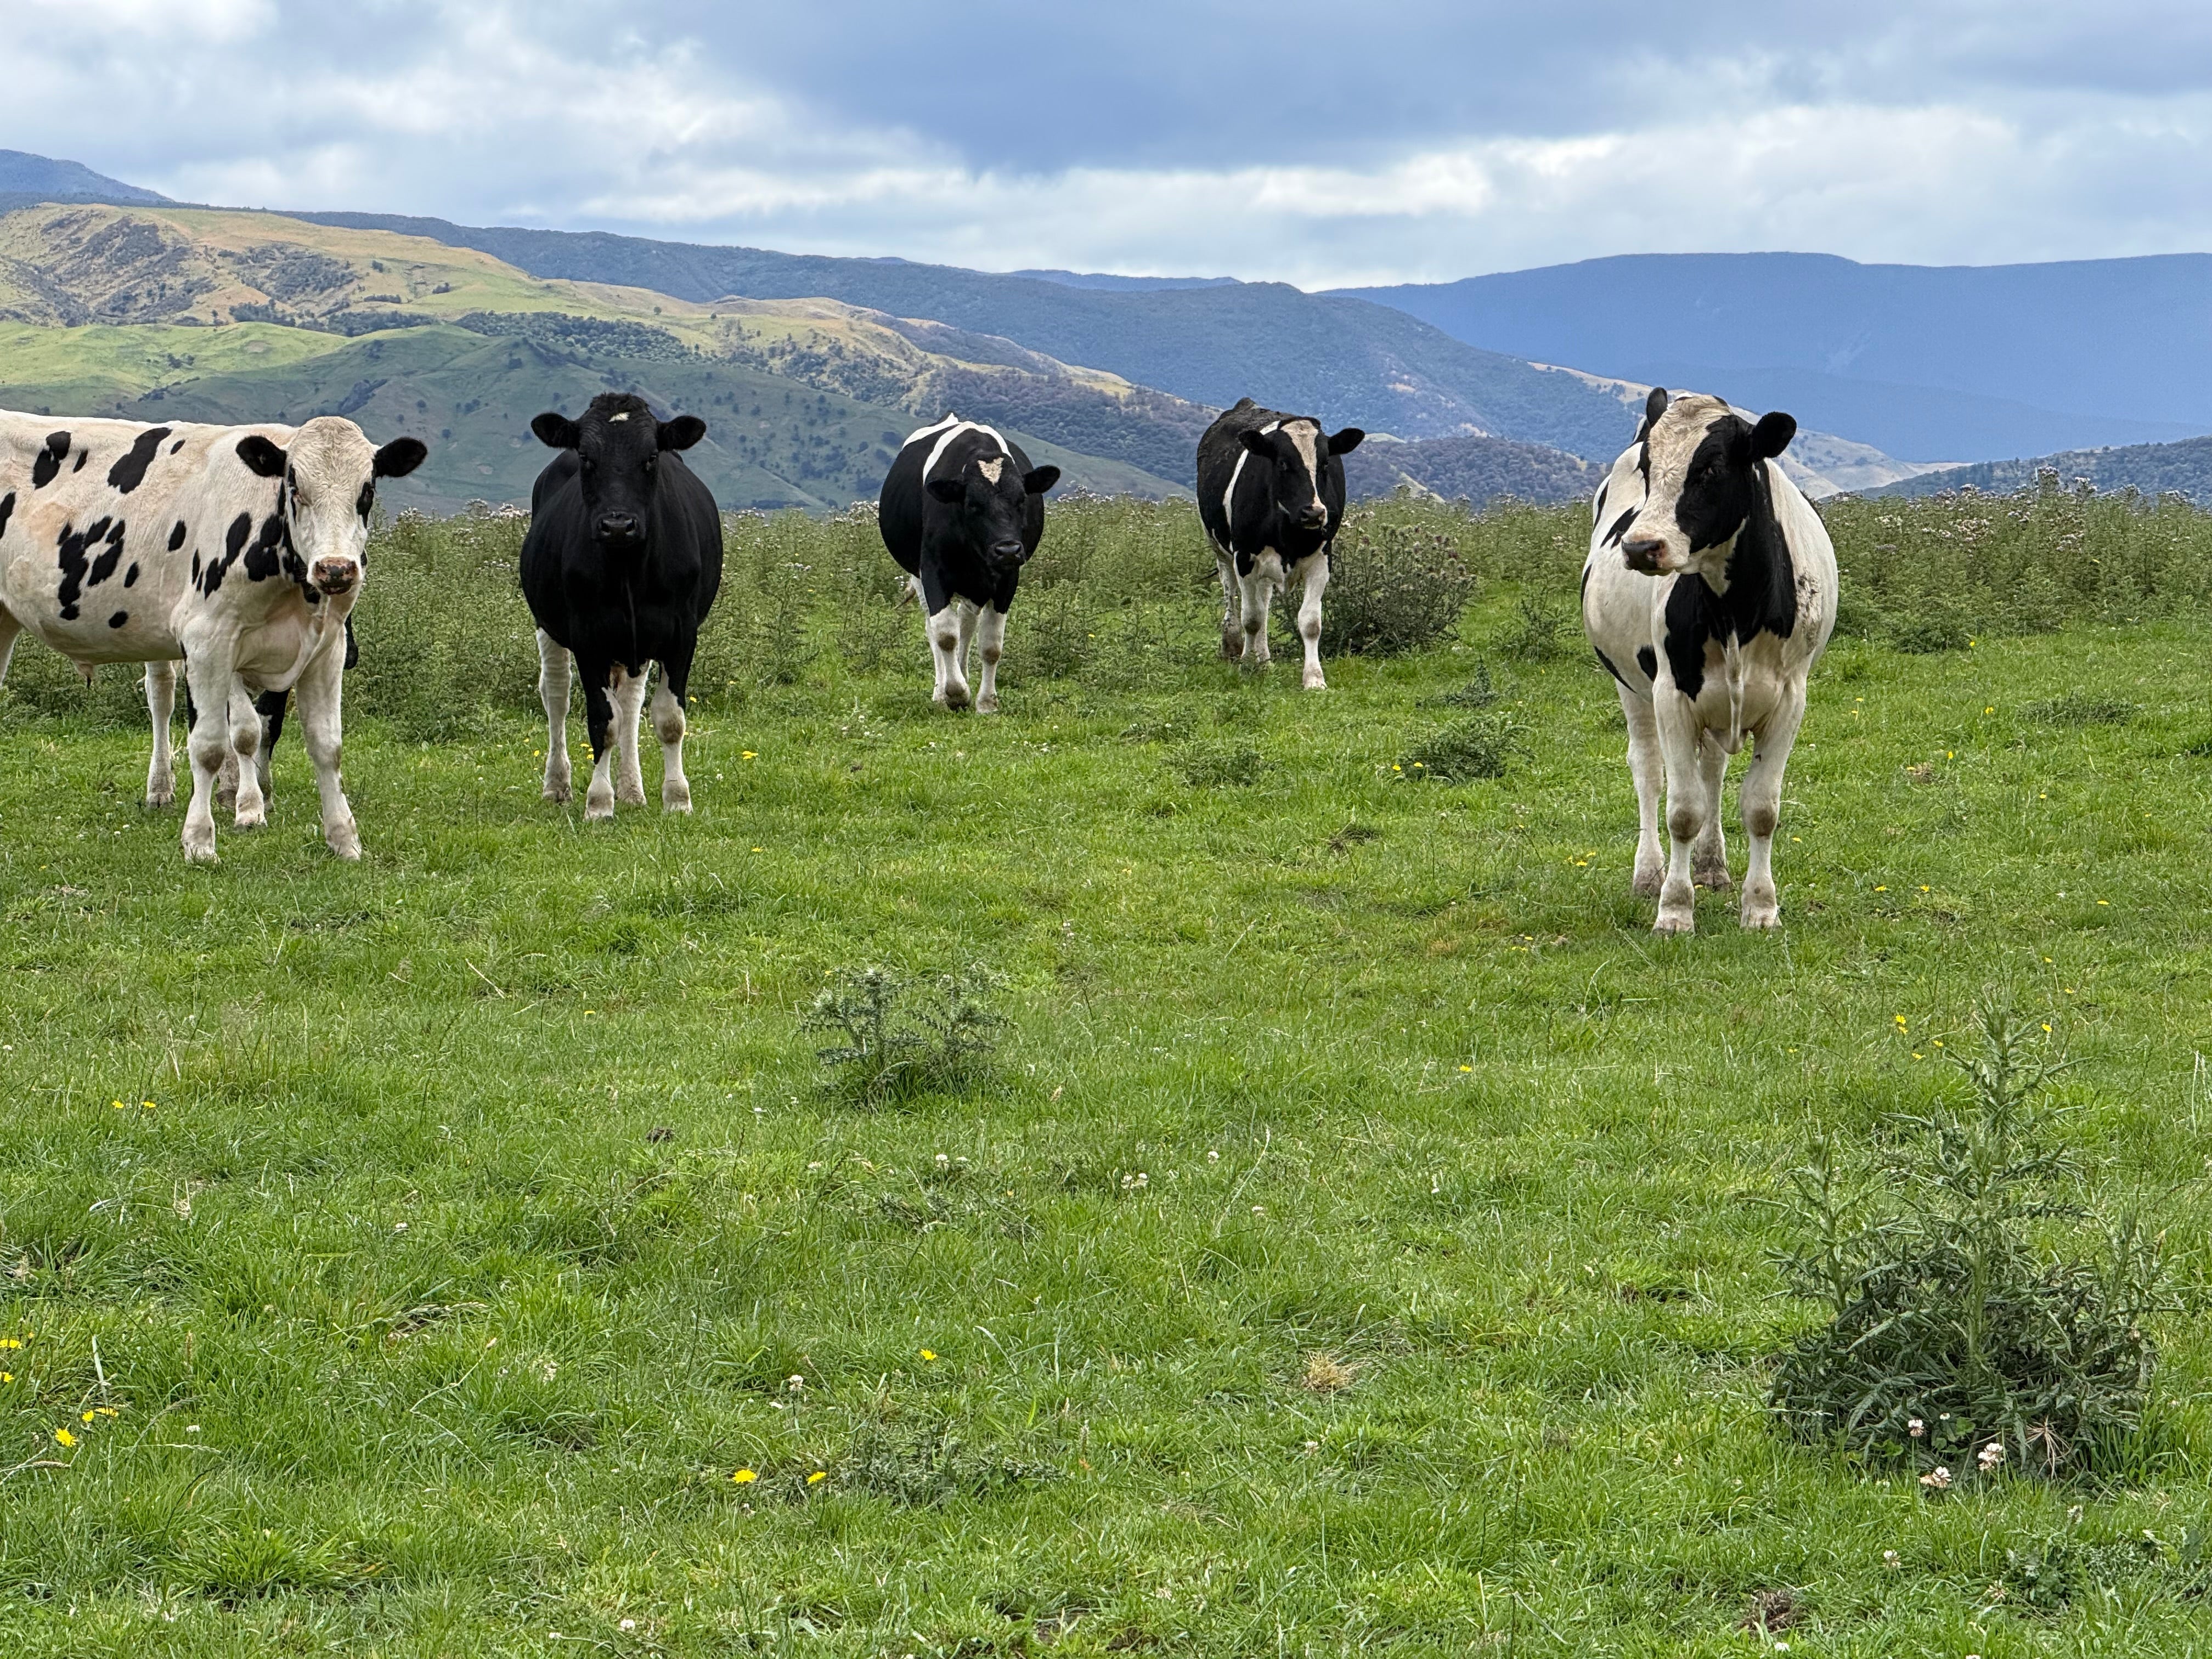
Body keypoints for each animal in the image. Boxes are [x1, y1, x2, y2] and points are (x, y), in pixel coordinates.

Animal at [0, 412, 425, 862]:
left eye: (368, 490)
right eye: (294, 487)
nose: (336, 569)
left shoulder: (327, 648)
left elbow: (326, 745)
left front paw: (343, 839)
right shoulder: (208, 641)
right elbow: (215, 743)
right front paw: (204, 838)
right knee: (162, 698)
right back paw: (166, 790)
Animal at [520, 392, 723, 819]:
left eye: (651, 457)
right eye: (586, 456)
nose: (617, 525)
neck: (627, 567)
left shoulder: (682, 634)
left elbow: (669, 719)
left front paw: (677, 798)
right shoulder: (588, 636)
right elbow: (603, 721)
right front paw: (599, 802)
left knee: (631, 702)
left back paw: (633, 790)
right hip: (549, 624)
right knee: (557, 695)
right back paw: (558, 785)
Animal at [878, 415, 1060, 713]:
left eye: (1021, 500)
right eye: (972, 504)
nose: (1007, 550)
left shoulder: (1008, 579)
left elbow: (990, 645)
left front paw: (986, 702)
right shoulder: (933, 571)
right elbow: (944, 635)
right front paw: (954, 694)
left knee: (967, 622)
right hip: (919, 576)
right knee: (934, 627)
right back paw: (942, 689)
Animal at [1196, 398, 1364, 690]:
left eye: (1325, 465)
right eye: (1284, 464)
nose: (1314, 513)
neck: (1291, 535)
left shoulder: (1322, 559)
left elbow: (1310, 622)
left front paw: (1314, 678)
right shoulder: (1244, 557)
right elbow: (1251, 618)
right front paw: (1247, 666)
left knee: (1263, 600)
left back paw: (1264, 659)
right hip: (1220, 548)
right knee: (1232, 597)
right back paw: (1234, 647)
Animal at [1580, 388, 1837, 934]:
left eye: (1712, 468)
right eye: (1649, 468)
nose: (1641, 546)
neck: (1735, 611)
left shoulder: (1791, 699)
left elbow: (1761, 808)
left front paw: (1760, 907)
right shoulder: (1672, 695)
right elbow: (1682, 810)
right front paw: (1675, 910)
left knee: (1712, 771)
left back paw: (1712, 865)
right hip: (1630, 685)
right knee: (1649, 771)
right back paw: (1649, 873)